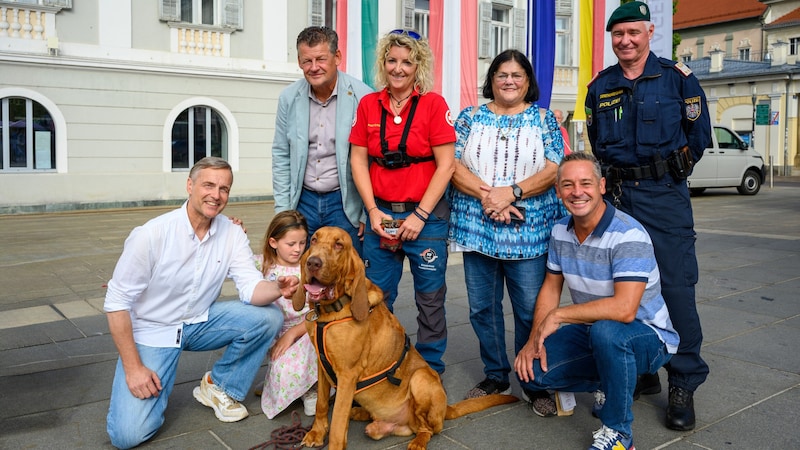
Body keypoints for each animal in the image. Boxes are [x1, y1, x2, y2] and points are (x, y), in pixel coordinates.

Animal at [294, 227, 520, 450]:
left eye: (339, 245)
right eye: (314, 240)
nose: (312, 263)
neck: (331, 311)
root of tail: (446, 409)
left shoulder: (347, 375)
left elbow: (338, 425)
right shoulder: (322, 365)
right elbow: (322, 404)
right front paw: (316, 433)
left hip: (421, 379)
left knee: (428, 429)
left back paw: (418, 441)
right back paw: (360, 412)